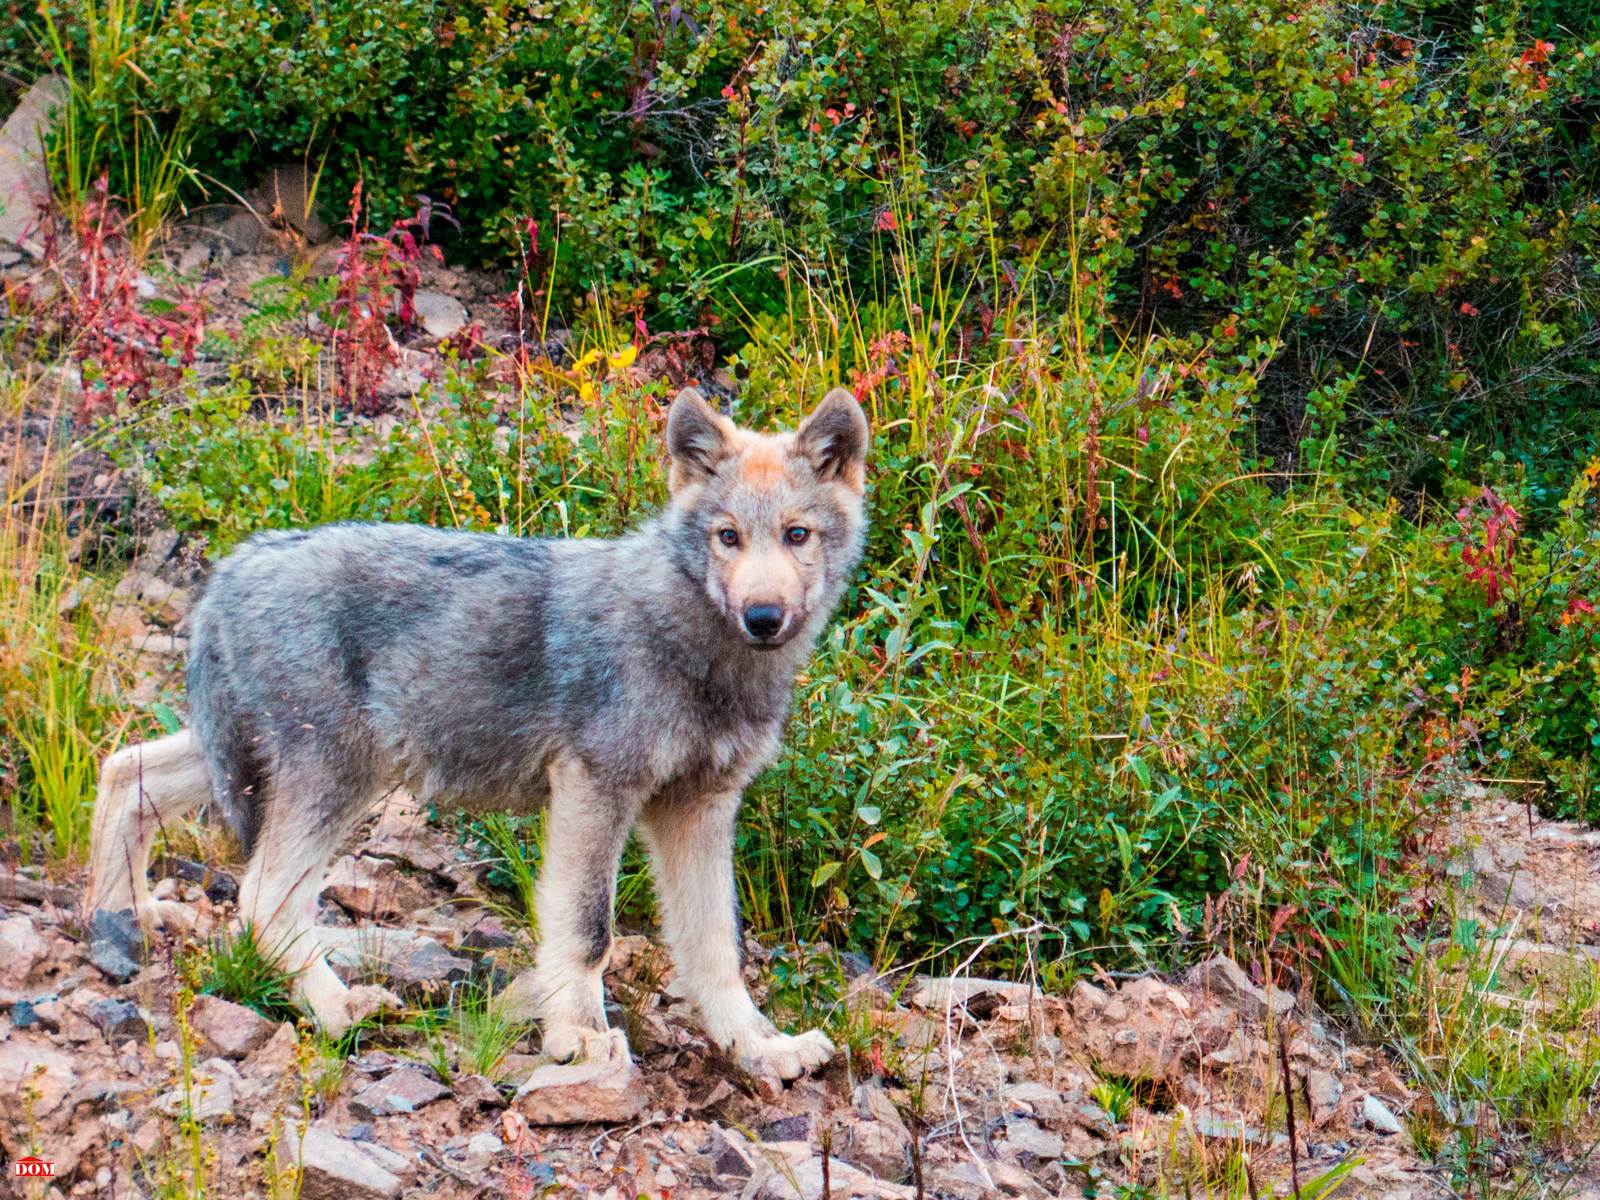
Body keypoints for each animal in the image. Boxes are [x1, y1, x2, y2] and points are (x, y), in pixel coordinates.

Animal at [87, 390, 870, 1088]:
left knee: (124, 770)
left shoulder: (699, 811)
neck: (700, 653)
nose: (763, 616)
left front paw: (758, 1048)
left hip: (253, 759)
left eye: (797, 535)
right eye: (728, 536)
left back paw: (118, 918)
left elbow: (715, 948)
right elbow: (588, 930)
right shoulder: (594, 790)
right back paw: (341, 1009)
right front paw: (580, 1038)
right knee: (261, 899)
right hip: (335, 777)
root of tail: (238, 560)